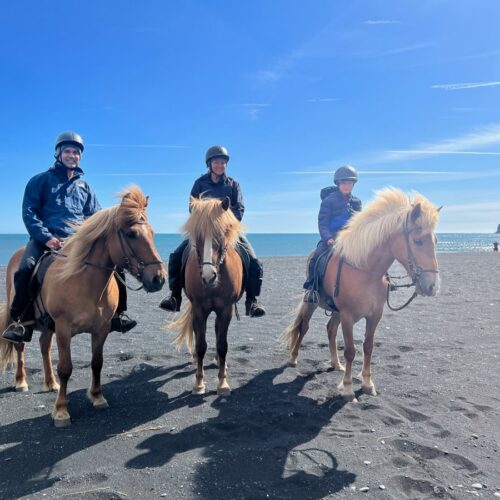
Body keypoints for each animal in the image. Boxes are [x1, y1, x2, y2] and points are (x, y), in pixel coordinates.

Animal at [0, 187, 167, 426]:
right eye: (131, 234)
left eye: (152, 233)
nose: (159, 279)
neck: (83, 281)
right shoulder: (63, 329)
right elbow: (65, 368)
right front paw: (61, 411)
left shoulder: (101, 329)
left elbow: (97, 362)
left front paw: (97, 397)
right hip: (23, 322)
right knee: (20, 347)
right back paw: (21, 381)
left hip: (47, 325)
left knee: (44, 346)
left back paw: (50, 383)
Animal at [168, 197, 244, 396]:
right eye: (198, 236)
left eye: (222, 233)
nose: (209, 277)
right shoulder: (199, 309)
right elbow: (201, 345)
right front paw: (199, 383)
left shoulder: (226, 309)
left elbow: (222, 344)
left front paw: (222, 383)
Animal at [284, 188, 440, 402]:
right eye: (417, 241)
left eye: (435, 241)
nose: (433, 287)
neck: (366, 272)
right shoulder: (348, 316)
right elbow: (350, 350)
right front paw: (348, 388)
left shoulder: (374, 315)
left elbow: (368, 346)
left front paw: (367, 383)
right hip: (312, 303)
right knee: (303, 327)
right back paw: (293, 358)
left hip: (336, 312)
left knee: (330, 329)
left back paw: (336, 364)